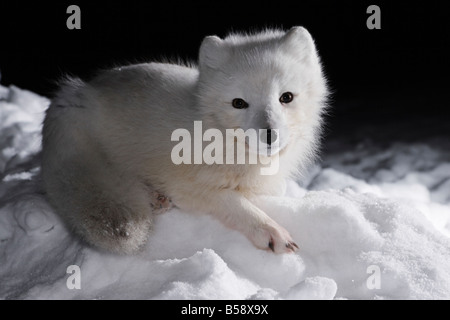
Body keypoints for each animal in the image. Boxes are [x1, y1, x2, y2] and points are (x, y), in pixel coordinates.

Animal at [41, 26, 326, 254]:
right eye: (239, 103)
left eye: (286, 97)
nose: (269, 135)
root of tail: (83, 89)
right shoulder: (186, 186)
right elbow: (233, 202)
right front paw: (270, 230)